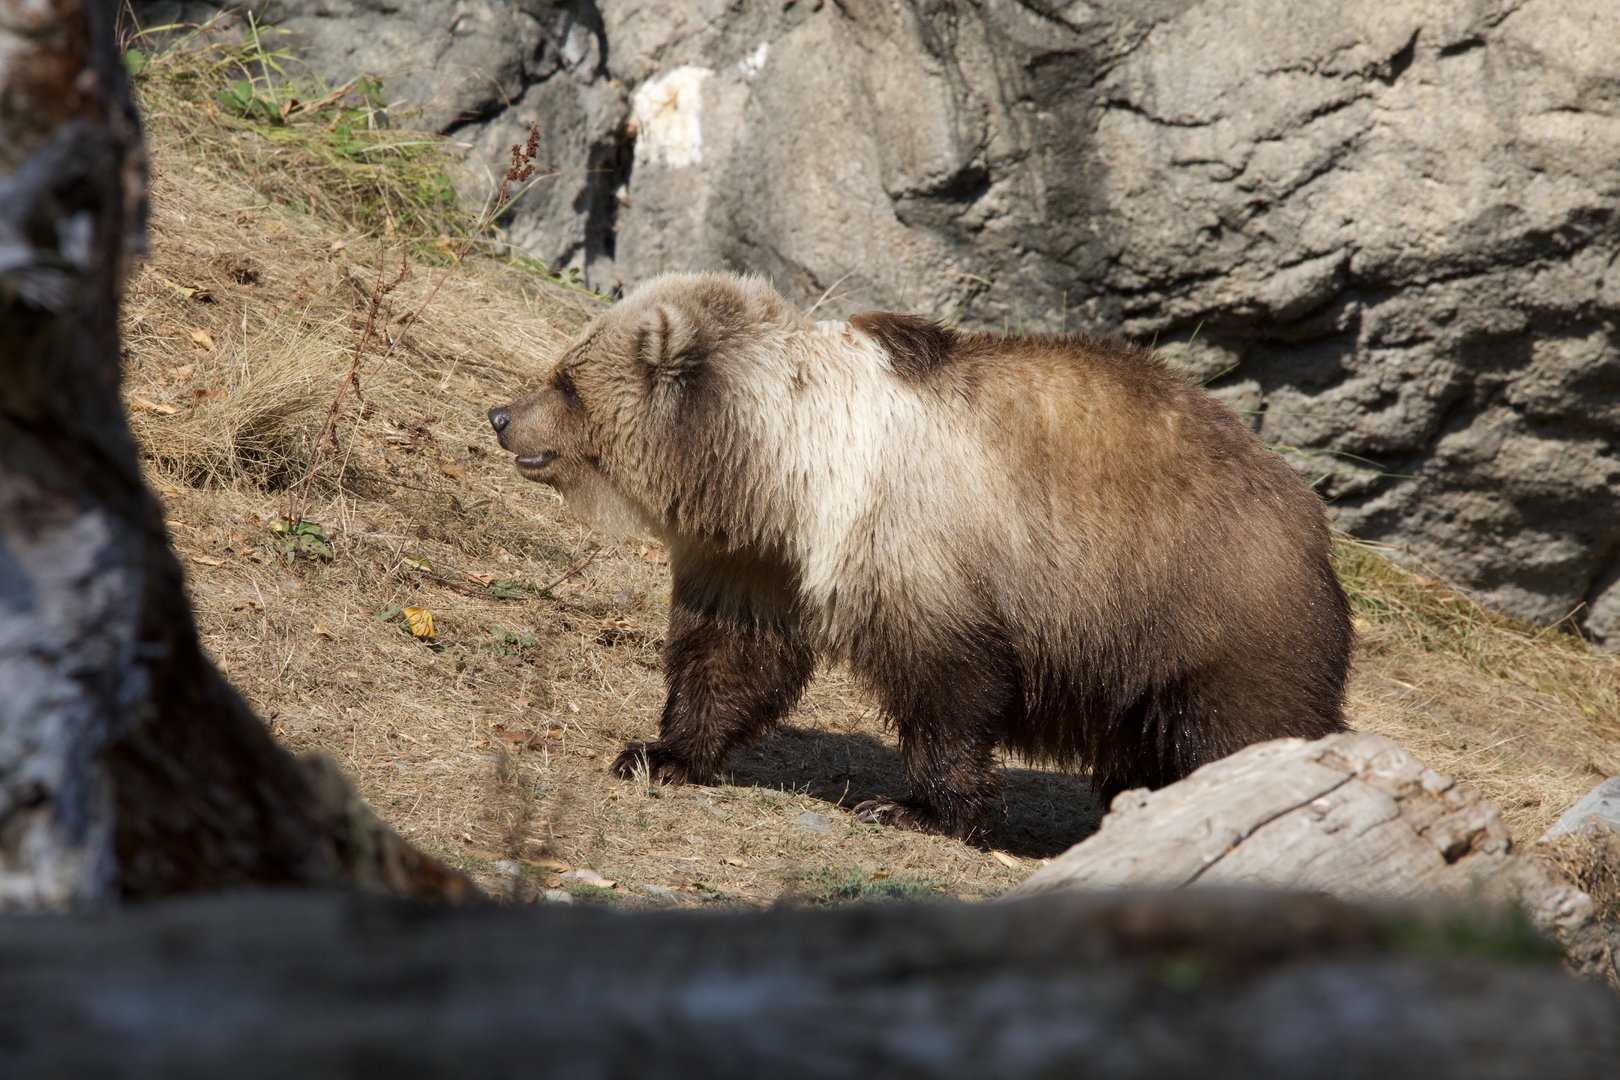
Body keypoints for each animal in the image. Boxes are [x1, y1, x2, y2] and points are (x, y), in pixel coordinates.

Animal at [488, 272, 1351, 838]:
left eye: (566, 380)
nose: (501, 414)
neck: (785, 472)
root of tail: (1311, 514)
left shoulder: (916, 542)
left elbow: (949, 683)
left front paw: (915, 807)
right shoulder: (759, 562)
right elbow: (729, 657)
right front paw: (659, 753)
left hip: (1203, 605)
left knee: (1244, 723)